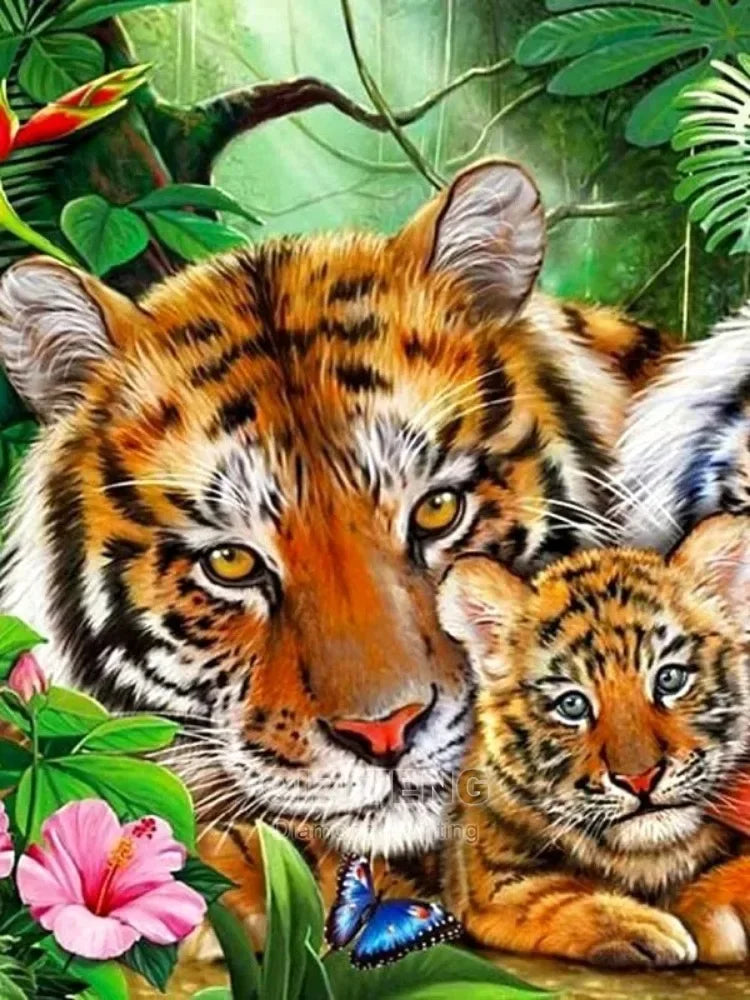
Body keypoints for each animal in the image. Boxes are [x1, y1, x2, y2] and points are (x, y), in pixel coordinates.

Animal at [438, 513, 750, 967]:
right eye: (572, 705)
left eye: (670, 679)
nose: (640, 779)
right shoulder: (490, 881)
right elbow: (552, 899)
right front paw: (649, 927)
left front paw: (708, 906)